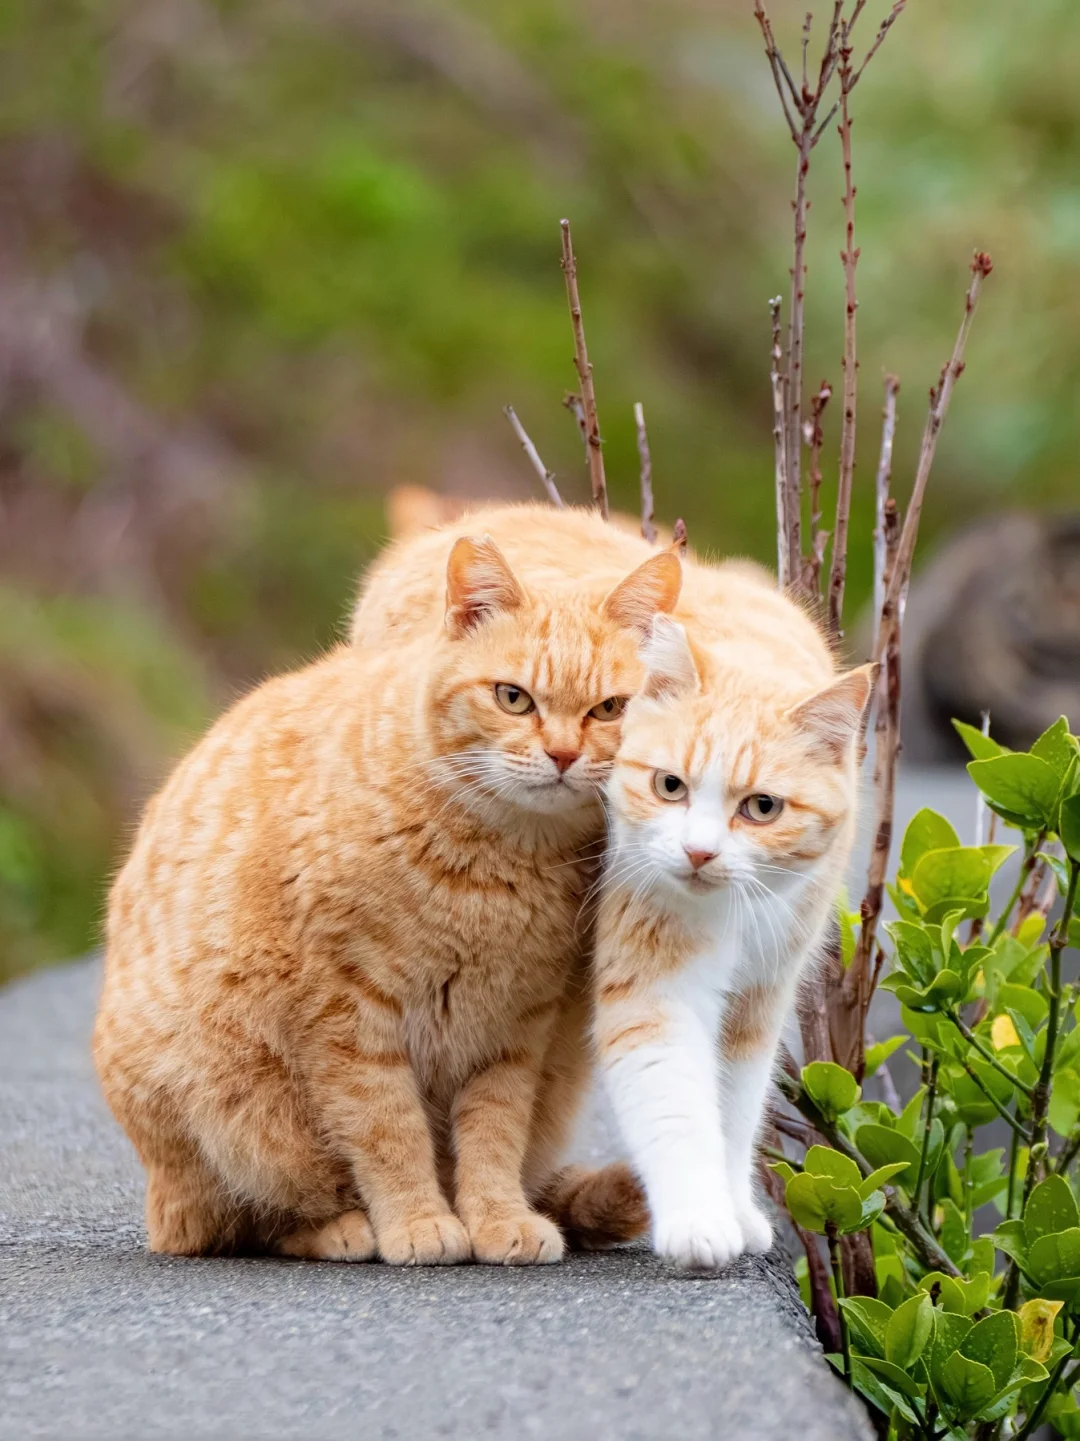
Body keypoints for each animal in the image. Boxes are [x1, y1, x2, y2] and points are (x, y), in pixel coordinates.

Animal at [96, 515, 677, 1262]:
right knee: (253, 1216)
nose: (563, 755)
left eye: (610, 708)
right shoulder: (350, 1017)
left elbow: (492, 1137)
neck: (500, 867)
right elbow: (387, 1131)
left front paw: (496, 1218)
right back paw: (343, 1228)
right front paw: (418, 1222)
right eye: (513, 697)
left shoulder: (515, 1027)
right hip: (231, 1110)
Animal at [591, 564, 876, 1273]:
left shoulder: (760, 1000)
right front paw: (698, 1220)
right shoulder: (654, 988)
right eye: (670, 786)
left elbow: (735, 1108)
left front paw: (735, 1208)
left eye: (763, 807)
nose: (698, 852)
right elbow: (674, 1103)